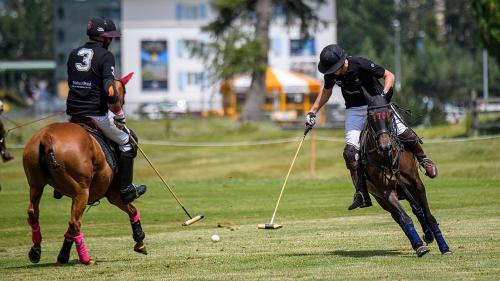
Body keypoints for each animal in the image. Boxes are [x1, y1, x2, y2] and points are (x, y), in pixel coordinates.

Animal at [22, 72, 146, 264]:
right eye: (124, 91)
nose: (120, 112)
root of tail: (47, 137)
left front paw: (63, 255)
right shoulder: (113, 193)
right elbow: (132, 208)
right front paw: (139, 240)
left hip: (36, 184)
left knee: (34, 212)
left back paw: (36, 251)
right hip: (81, 190)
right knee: (74, 222)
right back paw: (86, 259)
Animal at [360, 92, 454, 256]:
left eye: (390, 114)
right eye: (370, 117)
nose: (385, 146)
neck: (388, 159)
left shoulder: (416, 184)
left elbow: (428, 215)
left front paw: (444, 247)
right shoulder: (385, 191)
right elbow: (404, 217)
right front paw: (420, 246)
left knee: (418, 209)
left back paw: (428, 235)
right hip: (381, 198)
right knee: (399, 216)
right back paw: (418, 242)